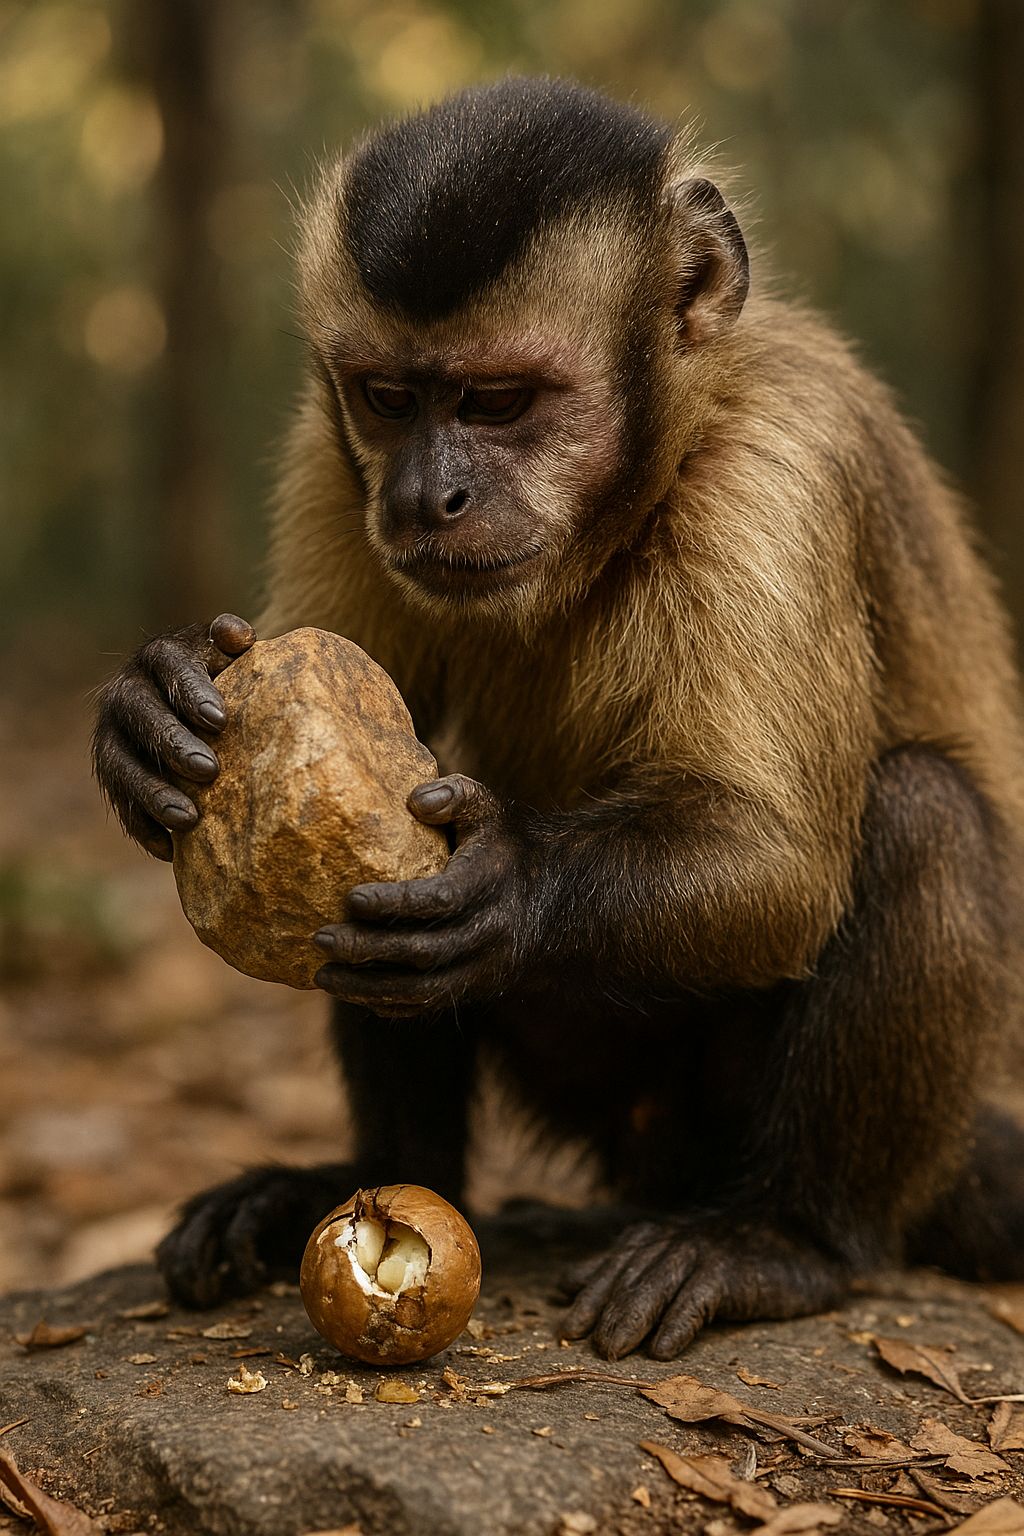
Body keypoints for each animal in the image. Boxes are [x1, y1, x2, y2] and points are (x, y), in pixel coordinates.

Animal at [93, 77, 1024, 1360]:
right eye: (389, 398)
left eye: (498, 401)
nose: (427, 494)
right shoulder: (331, 454)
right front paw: (149, 709)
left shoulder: (778, 464)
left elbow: (774, 862)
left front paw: (506, 881)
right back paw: (375, 1180)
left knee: (923, 810)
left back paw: (788, 1238)